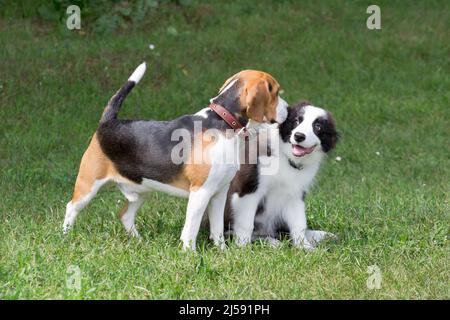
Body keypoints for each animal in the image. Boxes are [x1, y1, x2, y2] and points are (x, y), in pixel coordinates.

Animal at [224, 101, 338, 249]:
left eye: (318, 127)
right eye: (296, 121)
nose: (299, 136)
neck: (287, 158)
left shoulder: (295, 195)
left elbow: (299, 223)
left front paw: (305, 247)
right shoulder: (248, 190)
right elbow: (245, 223)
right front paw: (242, 248)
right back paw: (271, 242)